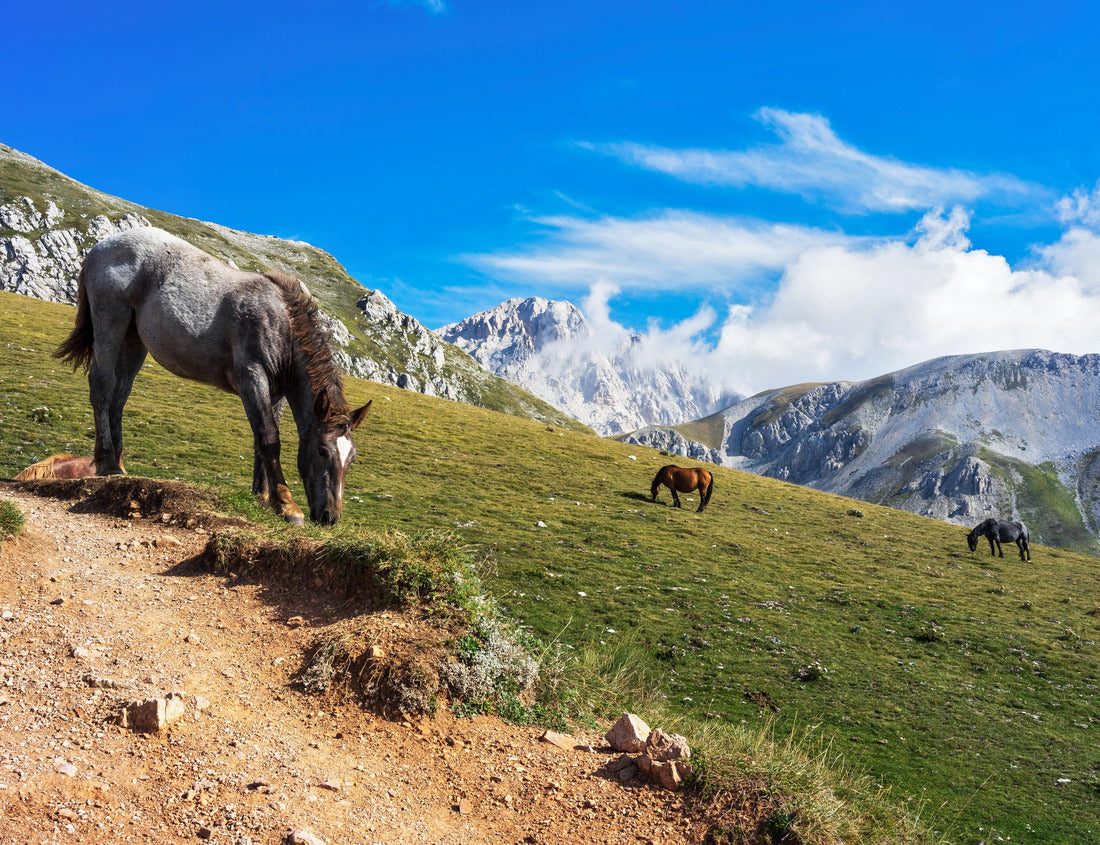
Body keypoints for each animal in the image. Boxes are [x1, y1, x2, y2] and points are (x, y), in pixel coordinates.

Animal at [55, 227, 371, 526]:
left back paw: (119, 464)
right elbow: (269, 438)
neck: (283, 324)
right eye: (322, 451)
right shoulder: (252, 378)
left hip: (133, 340)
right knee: (102, 385)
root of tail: (101, 247)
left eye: (352, 458)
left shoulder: (276, 393)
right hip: (110, 322)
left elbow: (260, 440)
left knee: (120, 395)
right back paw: (105, 462)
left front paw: (261, 496)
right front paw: (286, 505)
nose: (330, 517)